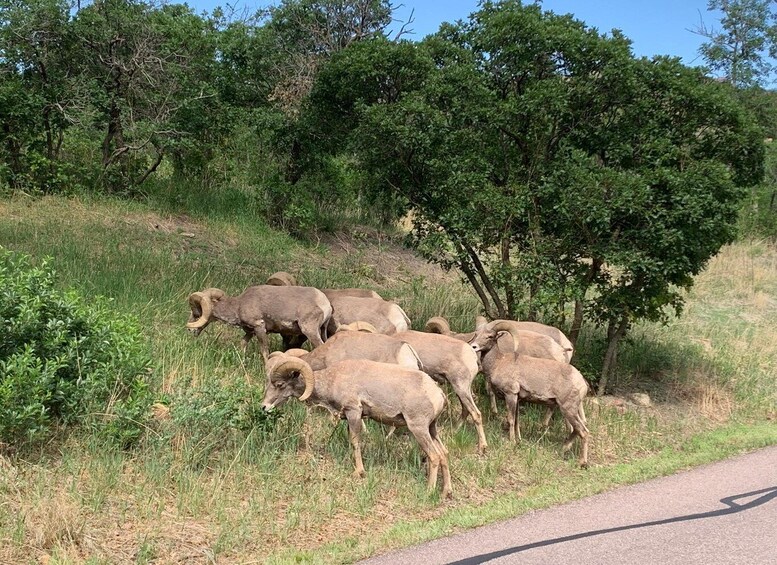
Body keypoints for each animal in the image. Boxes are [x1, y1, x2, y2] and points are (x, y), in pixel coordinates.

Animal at [189, 284, 334, 360]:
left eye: (197, 314)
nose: (190, 330)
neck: (239, 305)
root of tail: (325, 303)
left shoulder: (259, 327)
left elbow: (264, 351)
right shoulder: (250, 332)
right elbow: (243, 344)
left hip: (310, 330)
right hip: (321, 331)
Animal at [264, 354, 452, 496]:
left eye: (279, 385)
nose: (264, 407)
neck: (333, 379)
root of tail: (438, 394)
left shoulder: (353, 412)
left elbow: (355, 442)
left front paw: (359, 472)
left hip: (418, 429)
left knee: (434, 456)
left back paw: (429, 491)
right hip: (432, 429)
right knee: (443, 454)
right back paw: (446, 492)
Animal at [472, 320, 588, 464]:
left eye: (490, 336)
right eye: (477, 334)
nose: (474, 346)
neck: (498, 362)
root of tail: (582, 383)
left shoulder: (511, 395)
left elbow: (511, 419)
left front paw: (511, 441)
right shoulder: (518, 399)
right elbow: (517, 421)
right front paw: (518, 440)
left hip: (568, 409)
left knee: (583, 431)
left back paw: (582, 462)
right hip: (571, 410)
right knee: (579, 429)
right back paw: (563, 449)